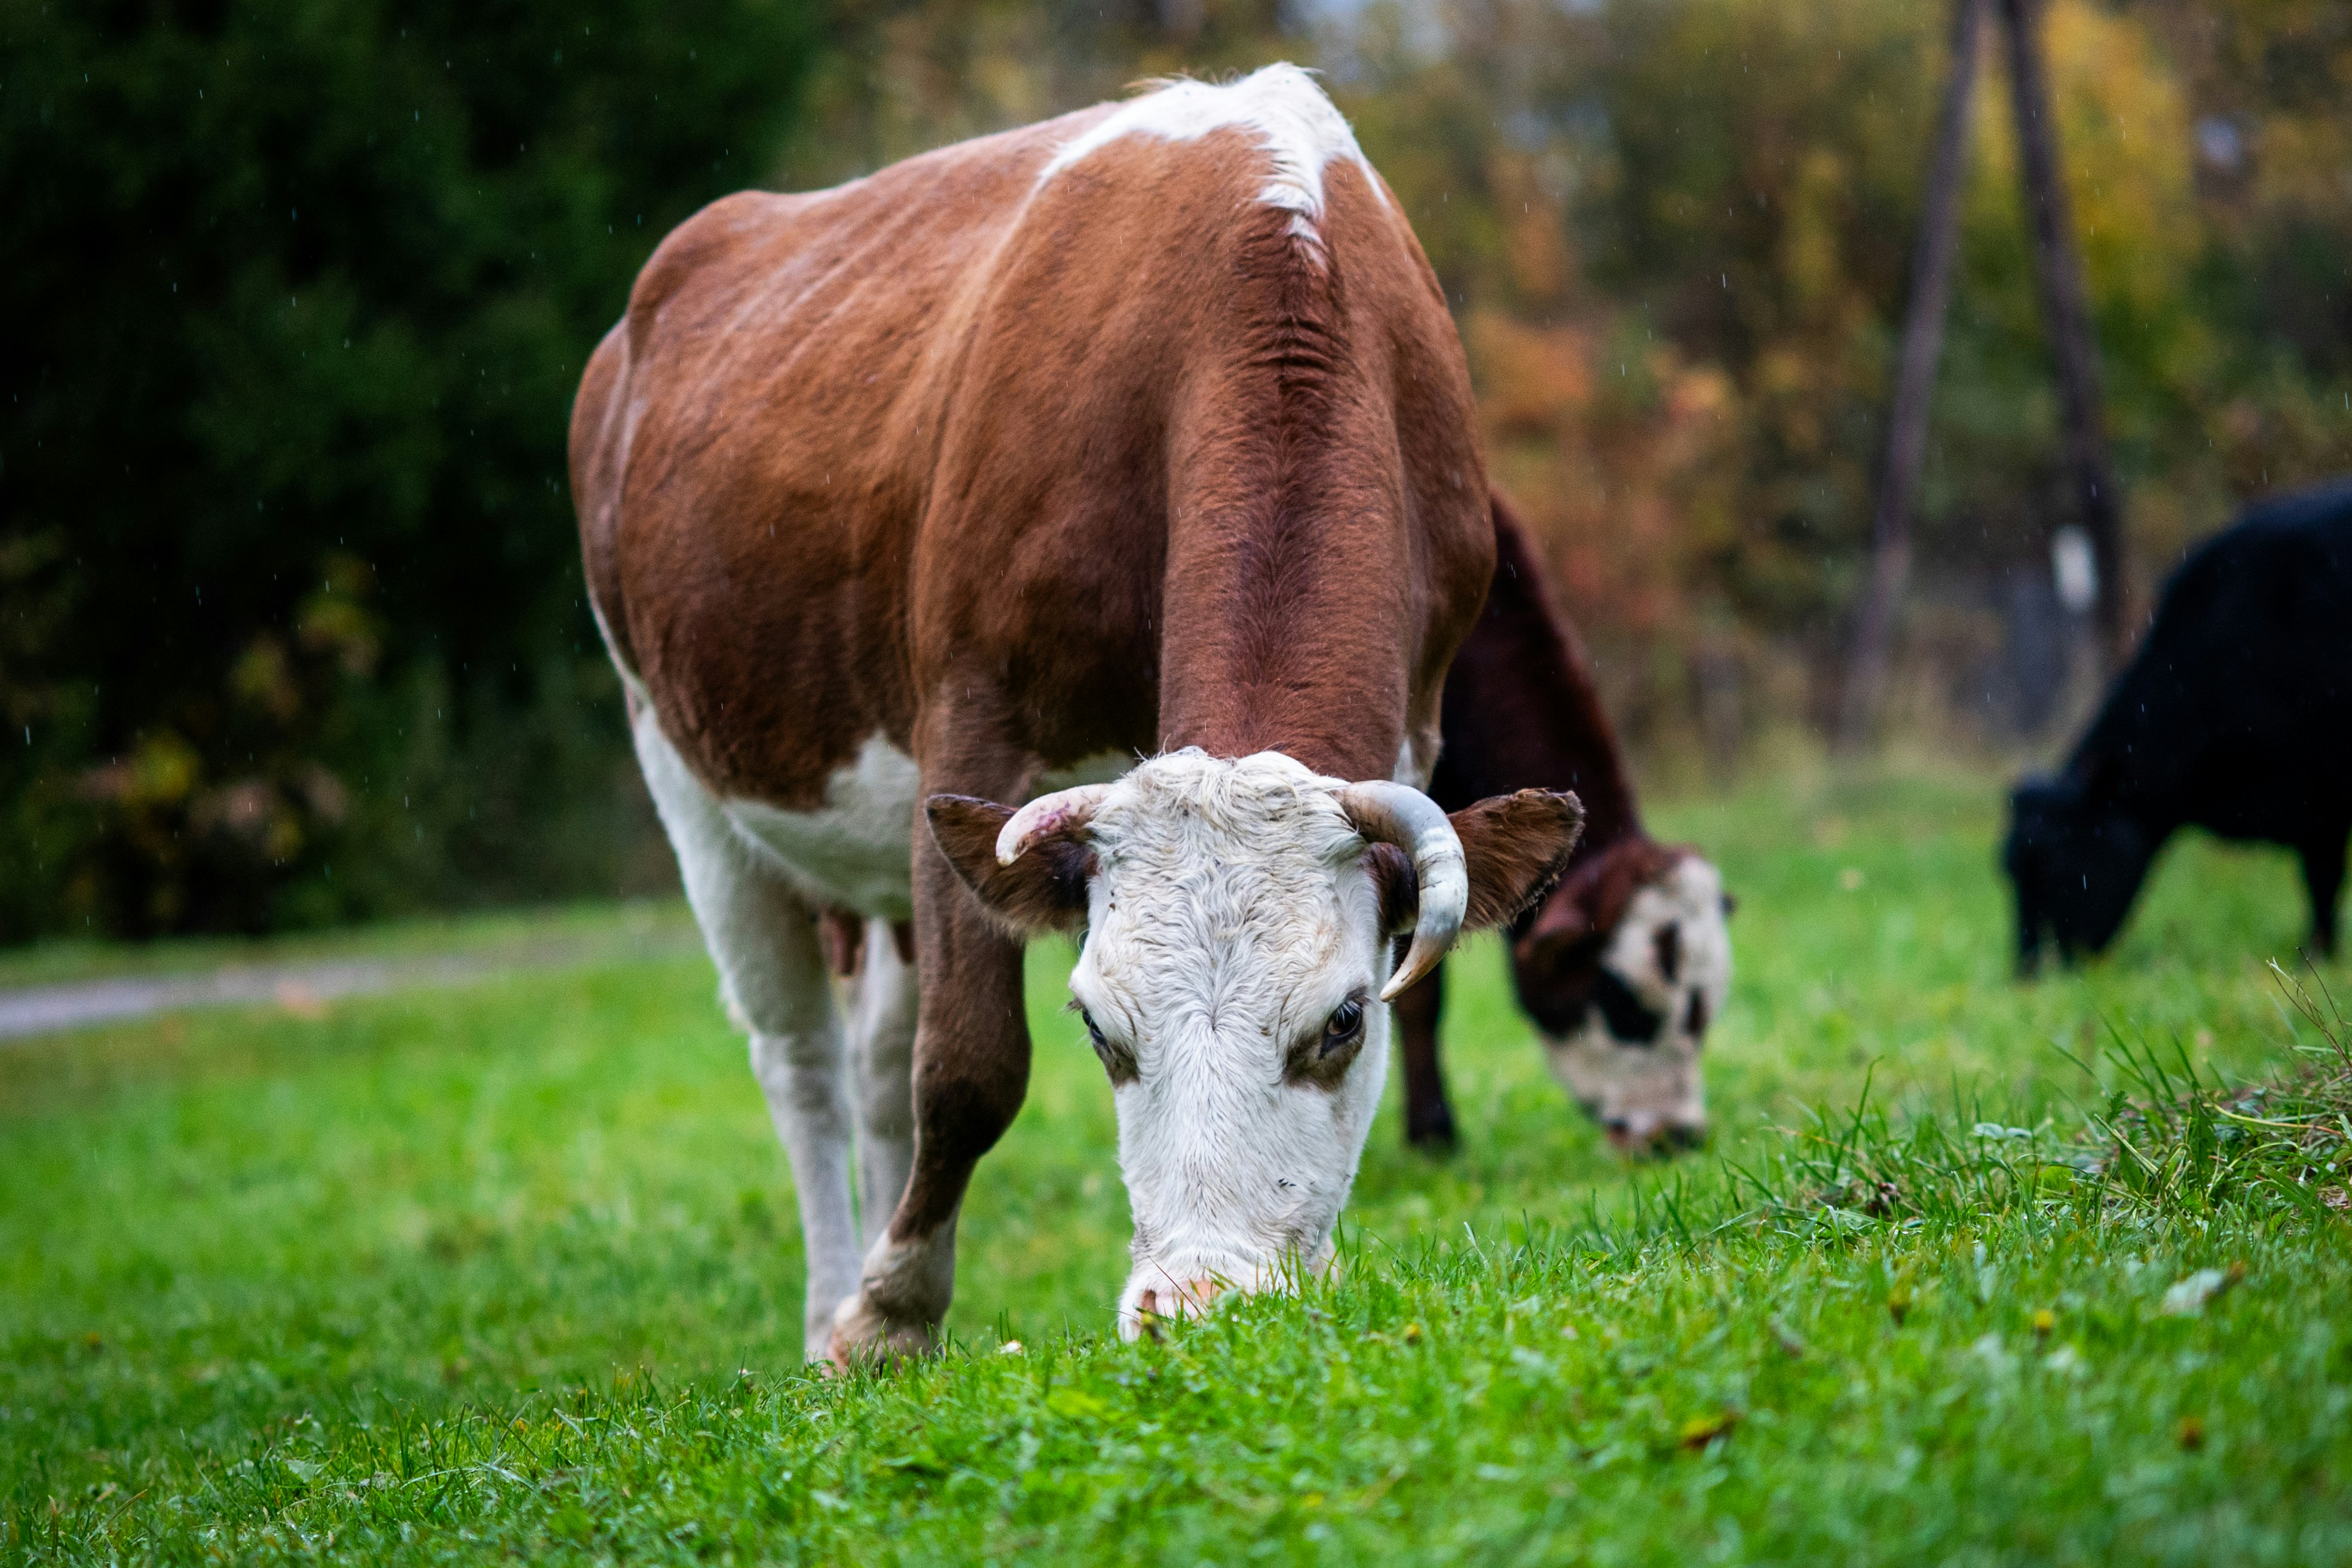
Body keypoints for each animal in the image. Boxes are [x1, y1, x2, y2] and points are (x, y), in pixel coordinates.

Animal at [569, 66, 1585, 1363]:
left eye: (1344, 1021)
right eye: (1101, 1029)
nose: (1201, 1306)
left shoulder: (1421, 713)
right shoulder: (971, 716)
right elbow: (968, 1063)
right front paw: (889, 1313)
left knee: (870, 1056)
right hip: (682, 764)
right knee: (800, 1061)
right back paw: (828, 1307)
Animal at [2005, 478, 2352, 971]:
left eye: (2056, 862)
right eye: (2007, 868)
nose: (2030, 971)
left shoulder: (2325, 790)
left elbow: (2322, 882)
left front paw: (2321, 959)